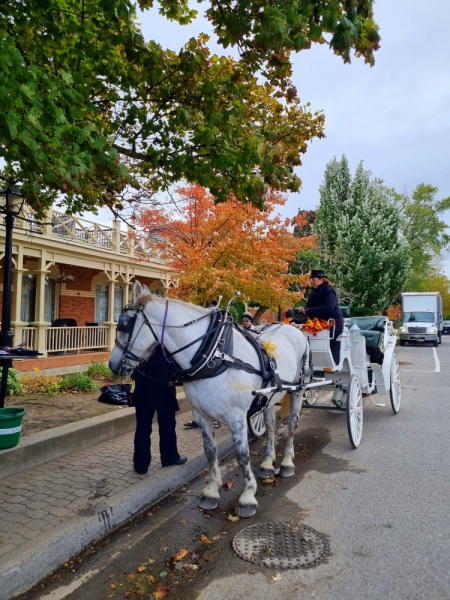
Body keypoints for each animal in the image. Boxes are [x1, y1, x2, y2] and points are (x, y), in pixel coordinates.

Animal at [110, 282, 312, 516]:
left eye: (124, 325)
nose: (112, 365)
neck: (214, 354)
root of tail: (295, 330)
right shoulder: (201, 415)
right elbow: (210, 452)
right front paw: (211, 491)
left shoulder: (237, 416)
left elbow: (242, 455)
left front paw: (247, 496)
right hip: (269, 396)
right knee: (270, 425)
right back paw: (268, 464)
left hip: (297, 389)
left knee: (291, 424)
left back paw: (287, 463)